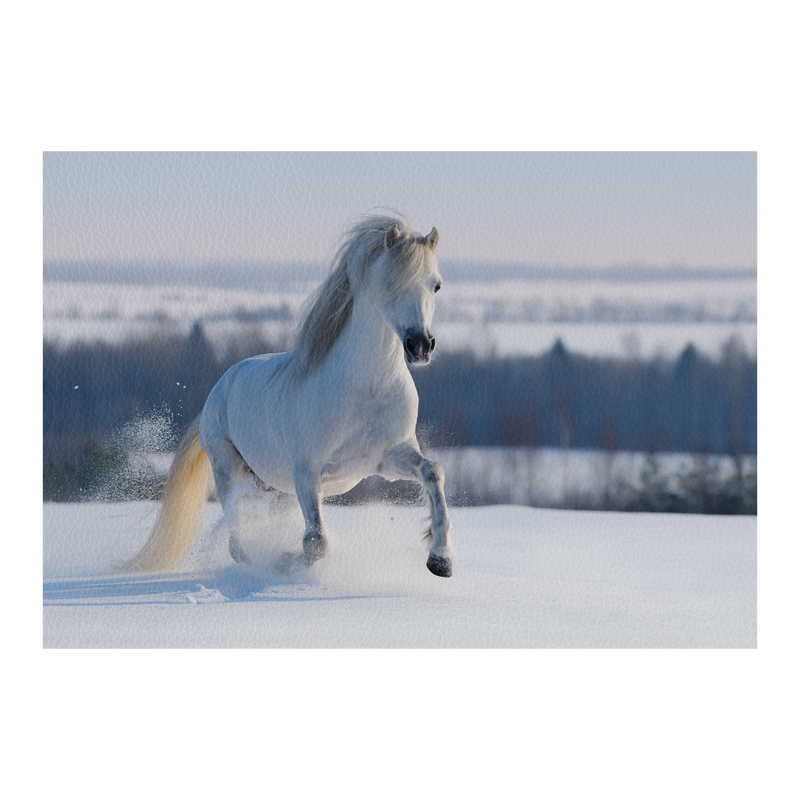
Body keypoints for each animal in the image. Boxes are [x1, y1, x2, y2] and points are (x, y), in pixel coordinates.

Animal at [121, 212, 454, 576]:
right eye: (391, 283)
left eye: (436, 285)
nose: (420, 345)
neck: (366, 390)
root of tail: (219, 388)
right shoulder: (307, 471)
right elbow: (316, 542)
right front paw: (285, 562)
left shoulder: (388, 458)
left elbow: (433, 471)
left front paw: (441, 559)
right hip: (229, 471)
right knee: (236, 537)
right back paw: (254, 566)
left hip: (278, 488)